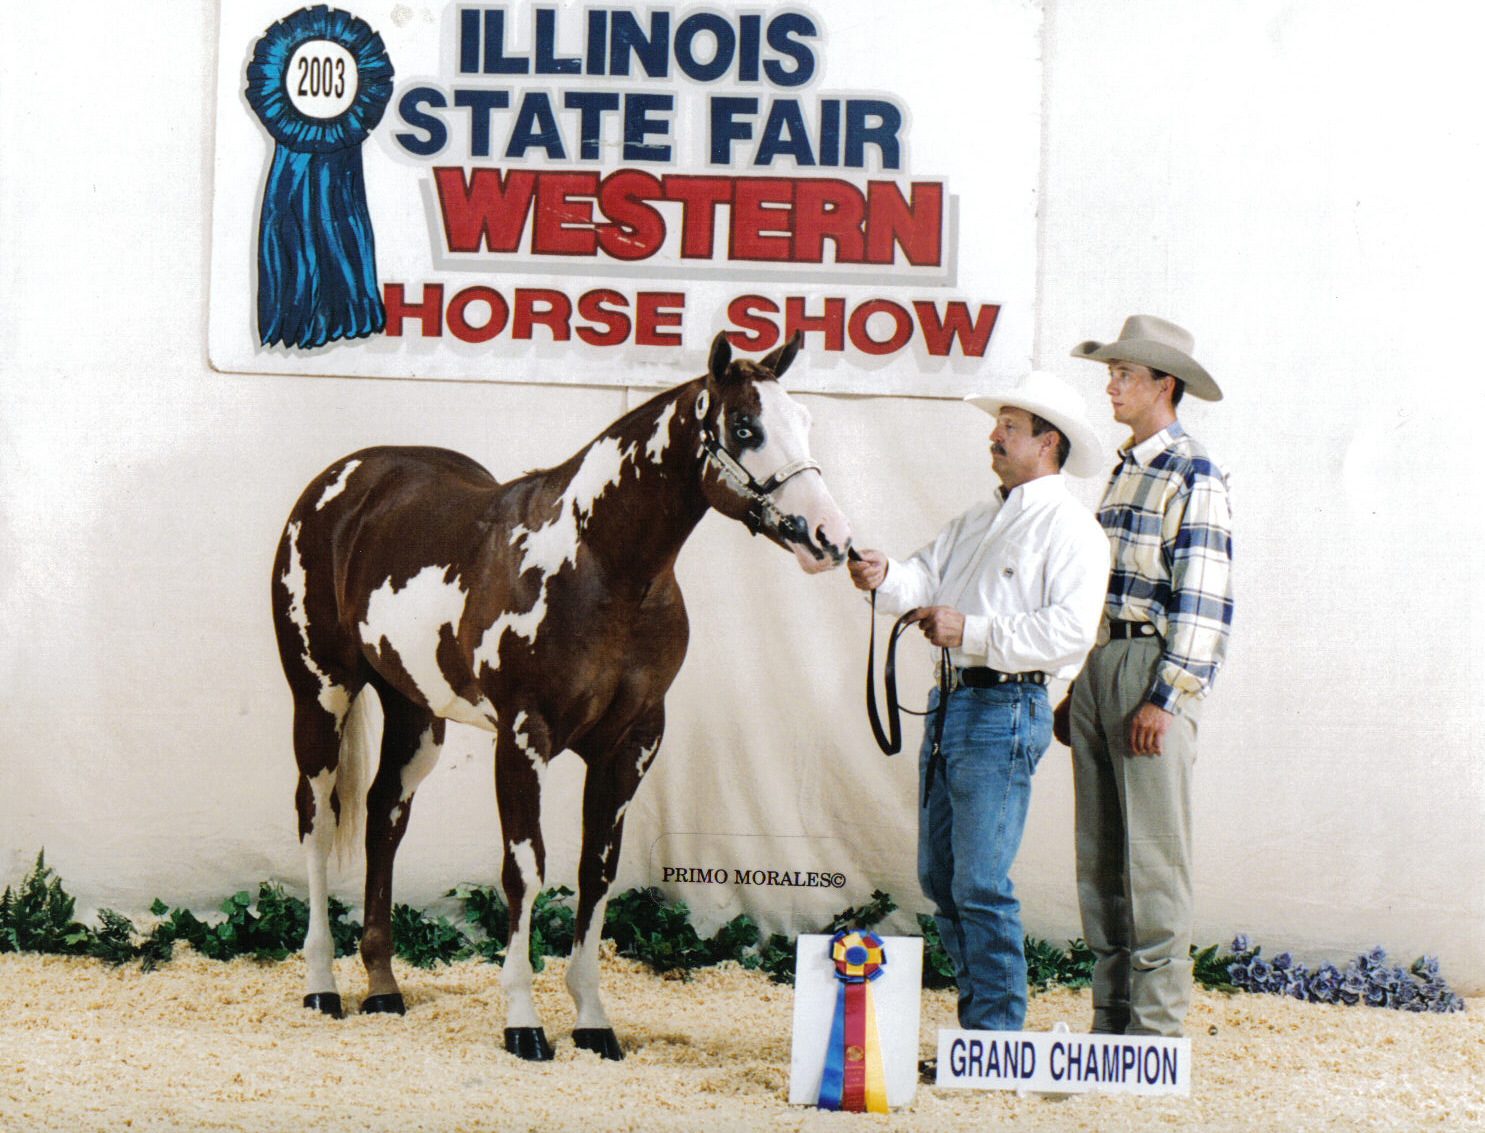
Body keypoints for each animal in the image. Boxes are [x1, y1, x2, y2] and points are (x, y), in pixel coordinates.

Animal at [270, 330, 851, 1061]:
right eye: (745, 427)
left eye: (803, 420)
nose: (831, 538)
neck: (601, 567)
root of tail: (341, 482)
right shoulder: (524, 737)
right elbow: (526, 868)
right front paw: (523, 1020)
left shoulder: (631, 744)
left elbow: (595, 872)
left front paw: (593, 1020)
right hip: (321, 694)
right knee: (315, 820)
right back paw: (321, 985)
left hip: (416, 716)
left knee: (384, 818)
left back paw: (382, 988)